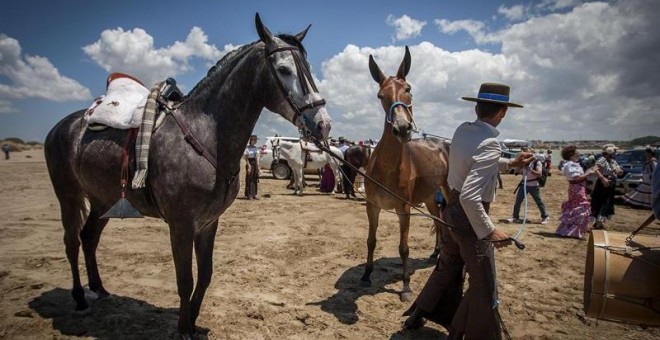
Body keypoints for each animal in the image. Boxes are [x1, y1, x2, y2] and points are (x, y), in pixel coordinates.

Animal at [43, 13, 330, 338]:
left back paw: (100, 289)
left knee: (89, 238)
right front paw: (183, 328)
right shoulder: (181, 225)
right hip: (68, 196)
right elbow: (185, 280)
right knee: (72, 241)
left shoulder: (208, 223)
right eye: (283, 69)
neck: (205, 136)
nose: (323, 125)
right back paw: (80, 298)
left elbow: (205, 275)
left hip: (103, 200)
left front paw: (191, 321)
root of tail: (62, 127)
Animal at [360, 45, 448, 302]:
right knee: (438, 221)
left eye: (408, 89)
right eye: (380, 95)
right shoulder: (372, 206)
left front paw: (406, 286)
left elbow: (404, 247)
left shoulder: (404, 209)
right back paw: (436, 253)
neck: (388, 167)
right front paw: (366, 275)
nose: (402, 128)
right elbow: (371, 241)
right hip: (430, 198)